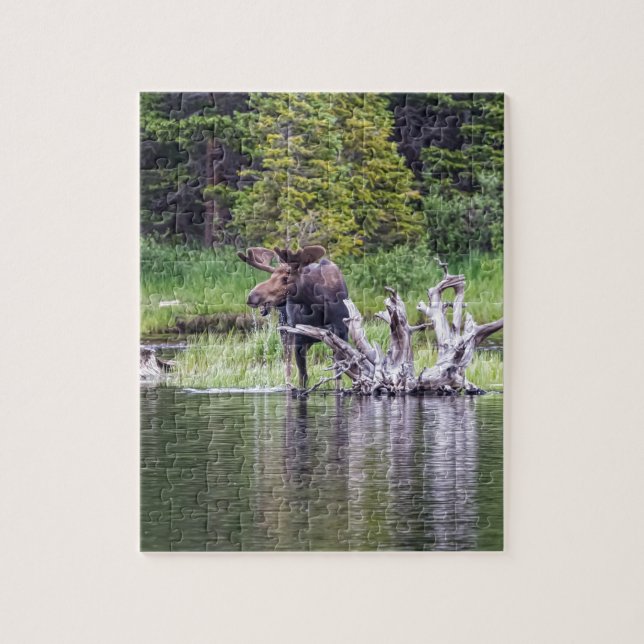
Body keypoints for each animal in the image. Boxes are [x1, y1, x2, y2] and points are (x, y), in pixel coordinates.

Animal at [238, 245, 349, 389]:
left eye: (286, 278)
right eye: (271, 276)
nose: (252, 296)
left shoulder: (342, 335)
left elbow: (338, 377)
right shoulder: (299, 338)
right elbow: (303, 377)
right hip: (285, 331)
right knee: (287, 368)